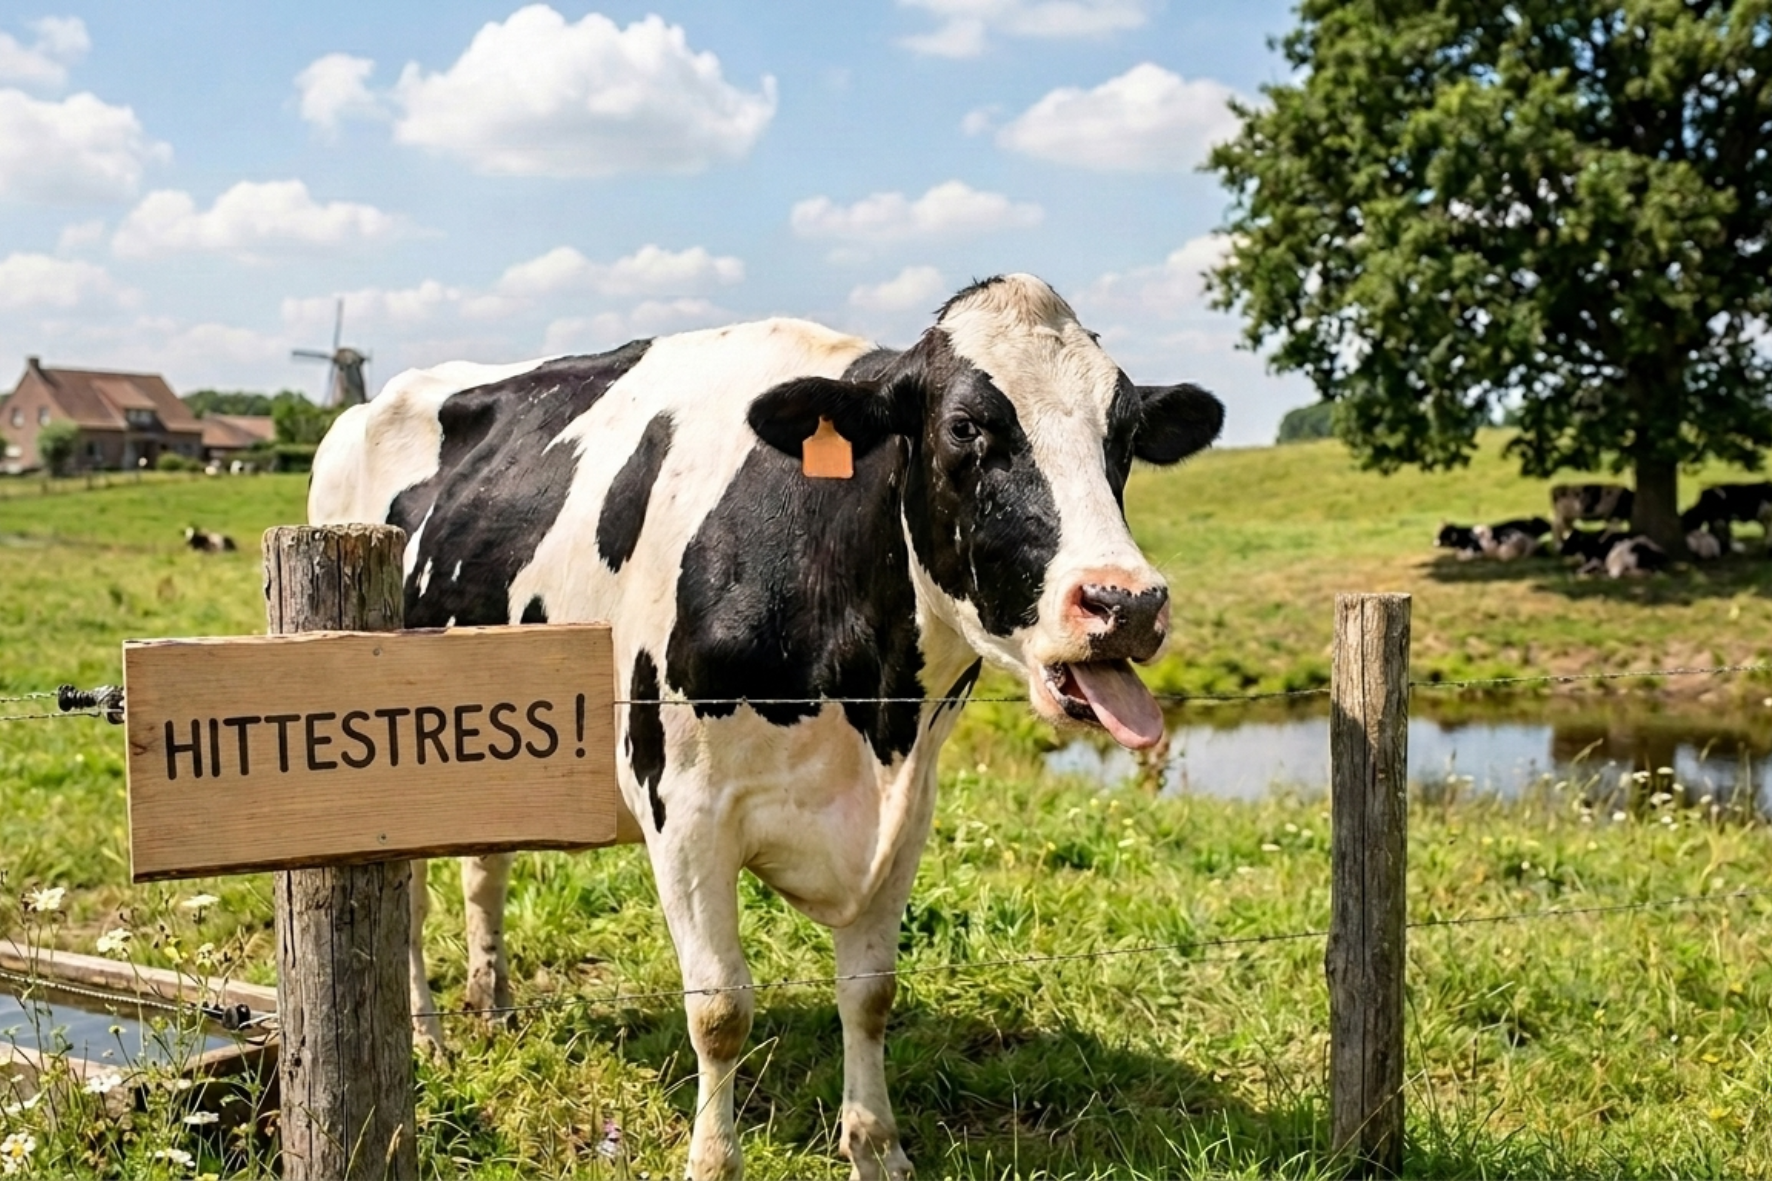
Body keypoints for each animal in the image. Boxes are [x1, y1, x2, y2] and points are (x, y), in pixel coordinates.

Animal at [308, 274, 1224, 1181]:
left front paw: (877, 1148)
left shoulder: (908, 808)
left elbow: (870, 991)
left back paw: (491, 1003)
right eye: (967, 426)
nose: (1126, 602)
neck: (872, 712)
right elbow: (720, 1008)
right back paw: (428, 1033)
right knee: (408, 900)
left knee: (482, 869)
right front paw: (713, 1161)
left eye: (1125, 432)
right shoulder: (684, 807)